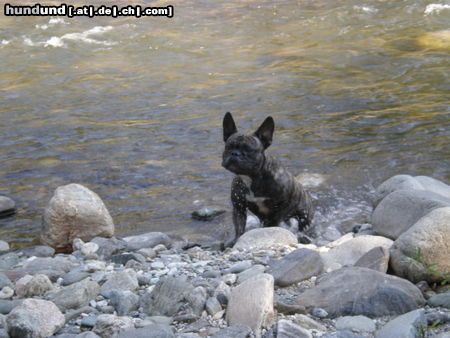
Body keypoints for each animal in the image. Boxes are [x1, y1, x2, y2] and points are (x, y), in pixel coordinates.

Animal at [221, 112, 312, 247]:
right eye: (228, 147)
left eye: (249, 150)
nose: (235, 153)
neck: (252, 177)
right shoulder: (239, 208)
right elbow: (239, 228)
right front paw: (236, 240)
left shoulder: (279, 209)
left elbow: (272, 223)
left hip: (305, 217)